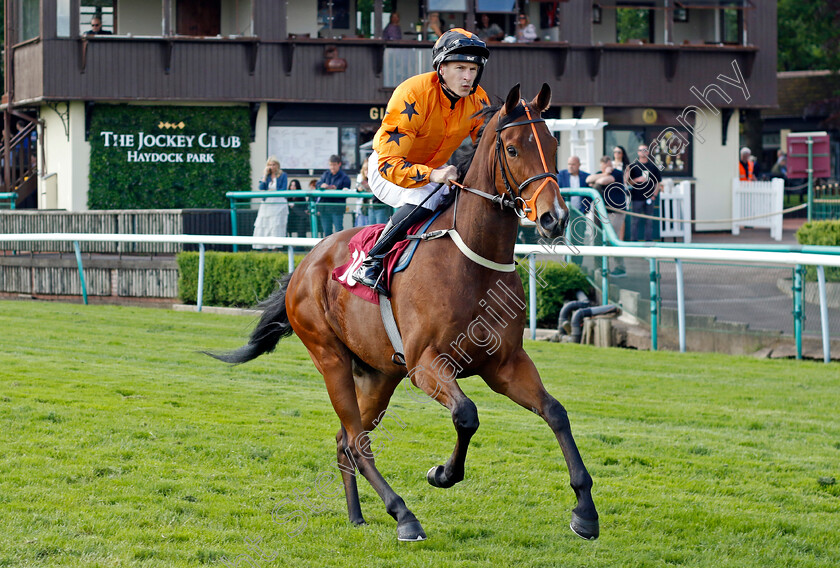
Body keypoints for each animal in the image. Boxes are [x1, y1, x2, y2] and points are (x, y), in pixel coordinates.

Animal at [213, 83, 600, 540]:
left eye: (555, 145)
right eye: (512, 148)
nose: (554, 217)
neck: (472, 262)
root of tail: (305, 264)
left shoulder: (505, 364)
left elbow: (555, 412)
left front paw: (585, 510)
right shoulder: (425, 365)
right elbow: (467, 415)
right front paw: (442, 473)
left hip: (379, 374)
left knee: (346, 441)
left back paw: (357, 515)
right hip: (331, 358)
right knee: (356, 441)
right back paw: (403, 515)